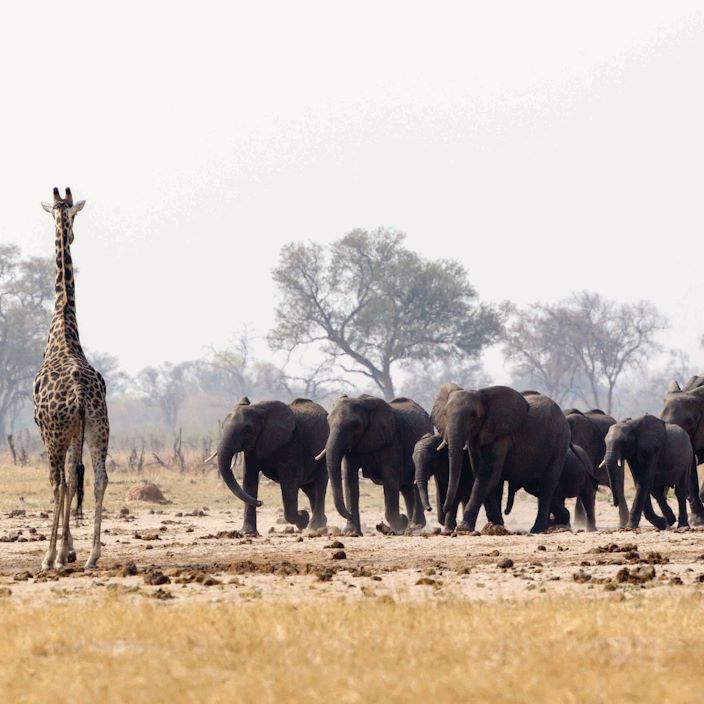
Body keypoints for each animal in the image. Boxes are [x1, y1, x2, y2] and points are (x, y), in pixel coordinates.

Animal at [217, 396, 328, 532]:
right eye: (222, 427)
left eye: (248, 430)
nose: (260, 502)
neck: (259, 410)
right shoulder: (253, 448)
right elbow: (249, 480)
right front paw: (247, 533)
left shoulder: (291, 443)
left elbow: (289, 482)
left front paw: (303, 518)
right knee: (309, 488)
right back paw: (320, 524)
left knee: (320, 483)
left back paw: (314, 527)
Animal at [322, 396, 432, 532]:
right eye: (328, 421)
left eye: (355, 425)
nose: (349, 514)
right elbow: (350, 481)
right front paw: (351, 533)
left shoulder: (391, 440)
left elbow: (390, 481)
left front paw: (400, 524)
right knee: (406, 487)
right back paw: (411, 525)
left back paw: (414, 526)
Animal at [434, 384, 572, 532]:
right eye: (444, 414)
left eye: (474, 416)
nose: (444, 508)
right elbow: (482, 474)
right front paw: (495, 526)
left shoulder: (501, 435)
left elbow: (487, 474)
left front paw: (464, 528)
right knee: (535, 487)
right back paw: (563, 519)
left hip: (560, 442)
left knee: (547, 486)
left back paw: (538, 529)